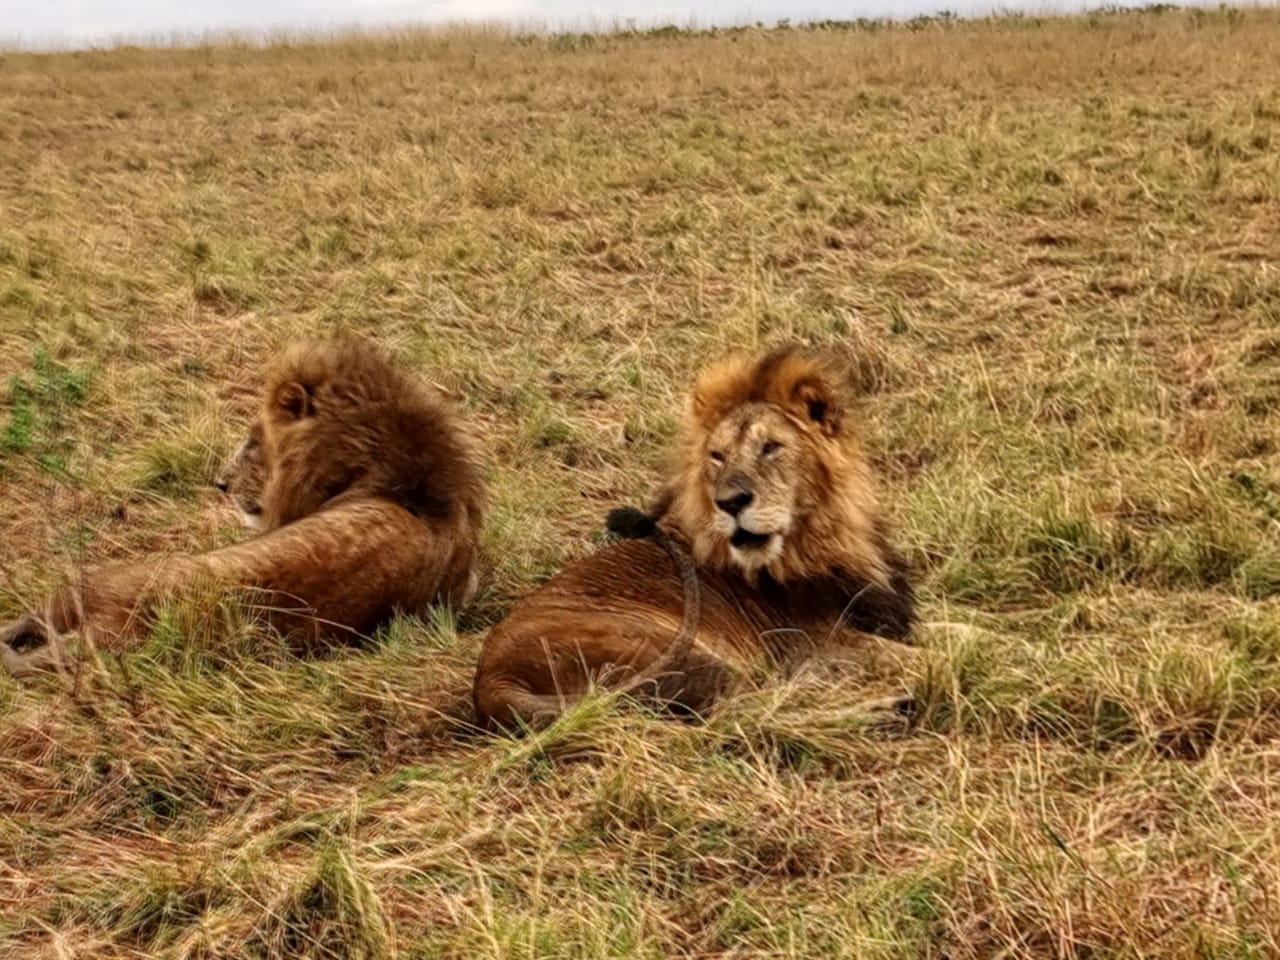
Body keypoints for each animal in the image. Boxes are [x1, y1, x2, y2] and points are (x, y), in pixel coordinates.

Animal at [472, 344, 918, 731]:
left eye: (771, 447)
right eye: (717, 457)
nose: (730, 502)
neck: (822, 537)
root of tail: (491, 686)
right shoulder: (812, 645)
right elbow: (907, 654)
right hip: (682, 654)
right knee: (744, 716)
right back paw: (885, 710)